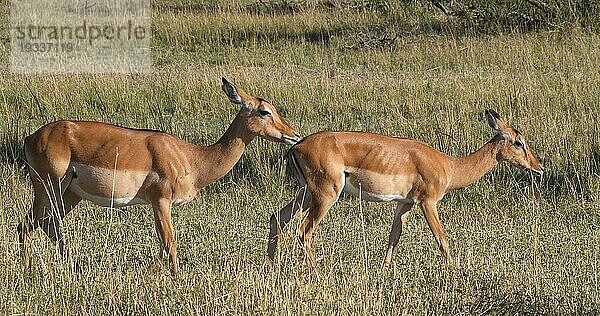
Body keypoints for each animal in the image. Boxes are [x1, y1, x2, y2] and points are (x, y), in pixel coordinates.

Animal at [19, 78, 300, 276]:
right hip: (49, 188)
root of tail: (32, 137)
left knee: (46, 225)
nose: (294, 134)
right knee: (27, 224)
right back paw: (29, 271)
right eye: (264, 111)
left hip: (69, 195)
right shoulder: (161, 202)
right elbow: (169, 243)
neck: (192, 157)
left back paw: (73, 268)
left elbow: (165, 245)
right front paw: (173, 279)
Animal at [268, 109, 544, 270]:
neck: (450, 165)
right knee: (304, 230)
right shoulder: (428, 203)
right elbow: (442, 239)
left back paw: (270, 266)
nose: (539, 167)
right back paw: (318, 273)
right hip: (325, 195)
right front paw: (455, 272)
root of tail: (296, 146)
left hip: (305, 193)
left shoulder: (405, 203)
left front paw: (383, 270)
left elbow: (394, 236)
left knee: (277, 218)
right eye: (518, 142)